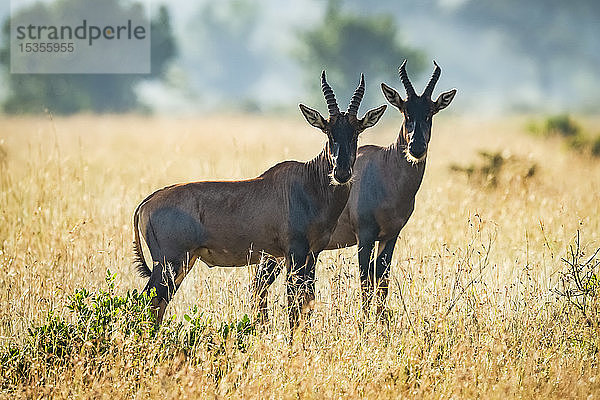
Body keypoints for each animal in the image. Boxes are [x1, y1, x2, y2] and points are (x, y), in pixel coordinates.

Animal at [133, 71, 386, 332]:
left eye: (356, 132)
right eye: (328, 131)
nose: (341, 173)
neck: (309, 181)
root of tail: (147, 203)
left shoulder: (312, 255)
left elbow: (307, 303)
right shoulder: (294, 253)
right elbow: (293, 307)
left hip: (182, 263)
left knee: (156, 306)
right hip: (170, 263)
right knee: (145, 303)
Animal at [326, 59, 458, 316]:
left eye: (430, 113)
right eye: (406, 112)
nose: (416, 148)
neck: (384, 170)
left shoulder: (391, 235)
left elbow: (382, 278)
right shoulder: (365, 235)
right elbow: (366, 280)